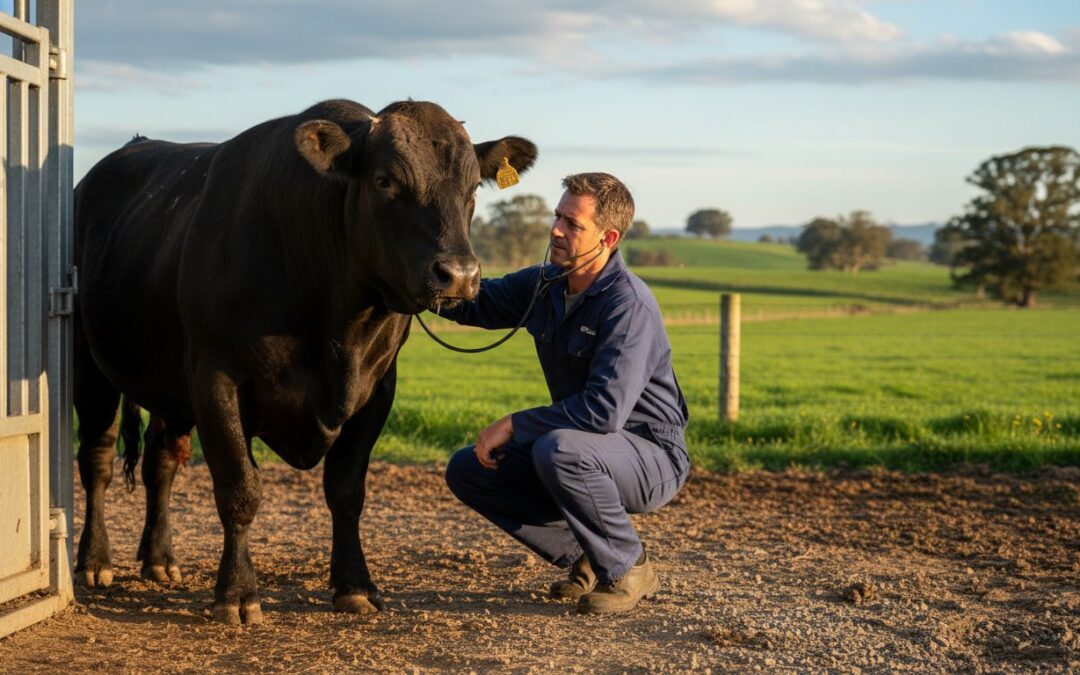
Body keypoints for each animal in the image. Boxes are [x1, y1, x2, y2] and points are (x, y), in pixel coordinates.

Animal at [74, 99, 537, 624]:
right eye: (384, 180)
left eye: (472, 186)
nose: (459, 275)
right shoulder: (215, 378)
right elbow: (239, 488)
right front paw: (236, 593)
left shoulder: (377, 388)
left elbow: (347, 491)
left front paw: (355, 586)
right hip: (88, 362)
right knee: (97, 459)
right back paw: (94, 561)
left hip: (169, 385)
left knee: (161, 461)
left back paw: (159, 559)